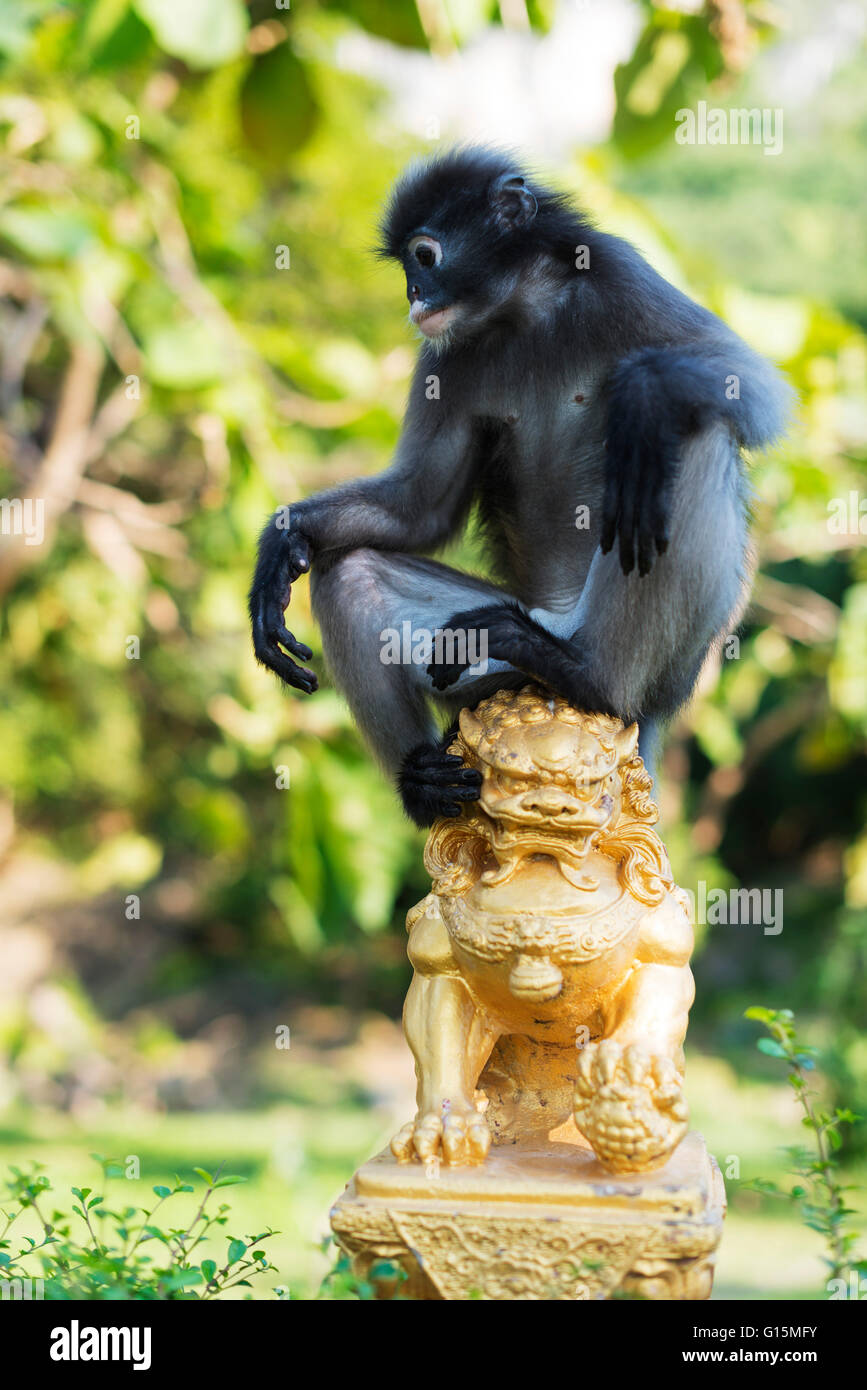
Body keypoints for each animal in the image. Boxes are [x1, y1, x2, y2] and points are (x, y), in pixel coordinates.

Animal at [248, 149, 794, 822]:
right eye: (406, 267)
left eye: (424, 256)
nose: (412, 295)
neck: (526, 310)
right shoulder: (444, 356)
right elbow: (420, 507)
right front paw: (281, 547)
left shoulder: (619, 275)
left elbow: (756, 390)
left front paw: (640, 393)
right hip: (480, 665)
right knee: (352, 576)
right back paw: (422, 783)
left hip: (666, 665)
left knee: (688, 434)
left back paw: (590, 675)